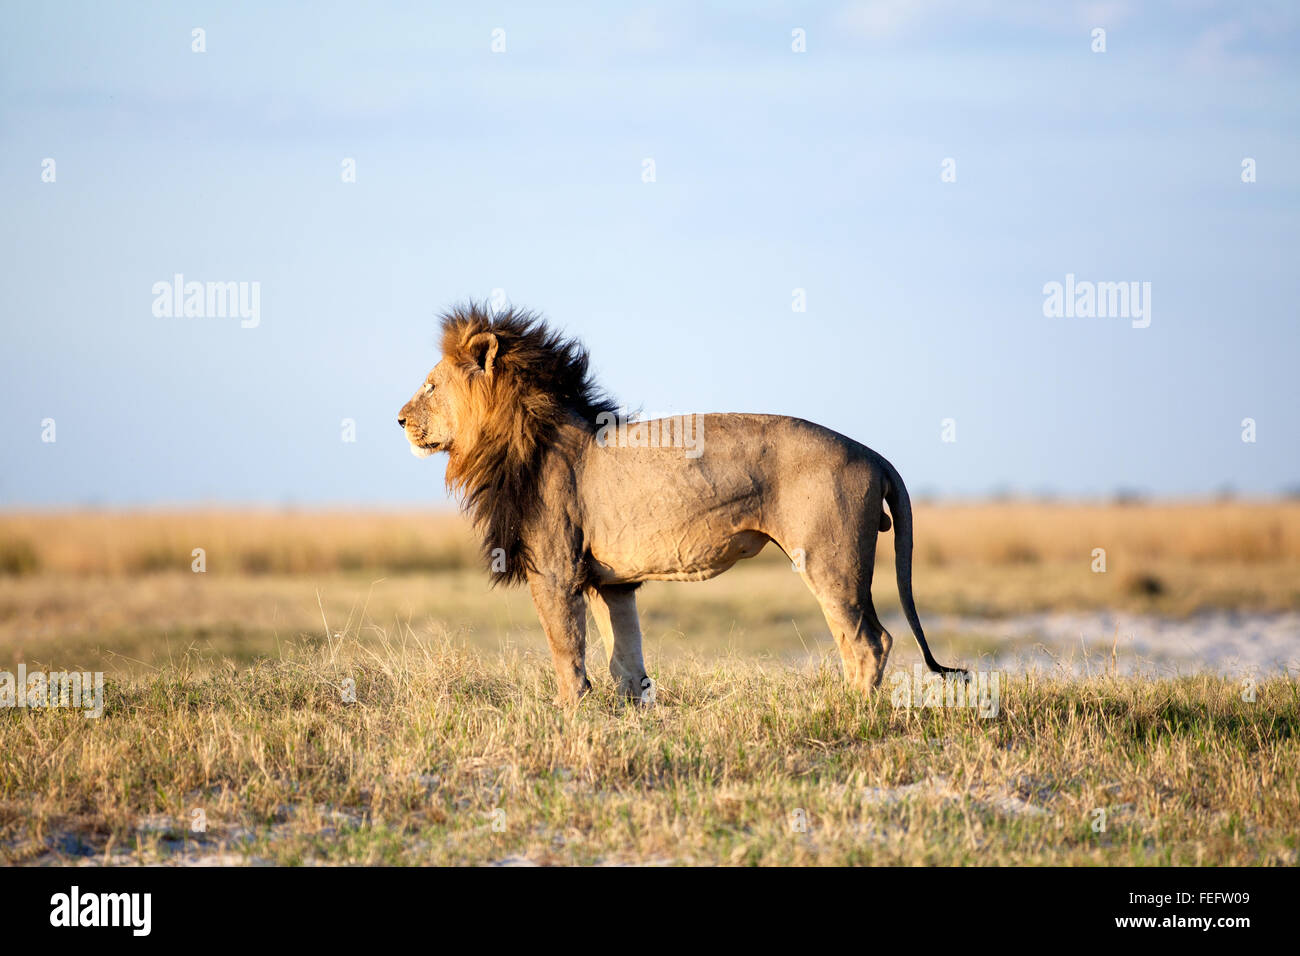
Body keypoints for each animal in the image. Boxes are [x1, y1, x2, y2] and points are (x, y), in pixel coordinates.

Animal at [397, 304, 967, 702]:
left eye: (430, 385)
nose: (399, 419)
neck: (518, 435)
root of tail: (872, 453)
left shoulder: (555, 571)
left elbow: (567, 656)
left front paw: (570, 718)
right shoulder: (611, 581)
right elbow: (625, 663)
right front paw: (630, 719)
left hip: (830, 558)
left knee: (870, 640)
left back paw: (849, 712)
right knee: (858, 640)